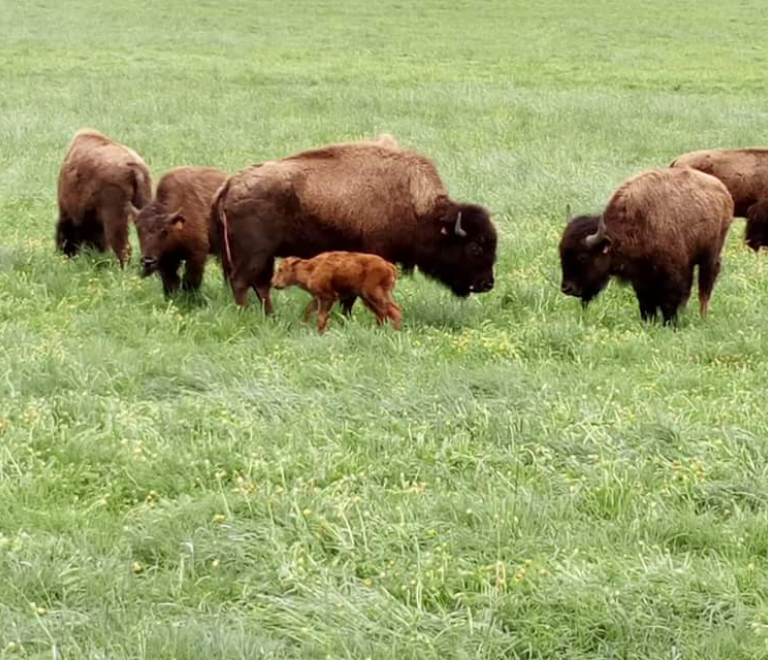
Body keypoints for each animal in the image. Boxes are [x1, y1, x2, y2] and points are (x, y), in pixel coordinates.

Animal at [134, 166, 228, 296]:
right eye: (138, 229)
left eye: (164, 231)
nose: (148, 260)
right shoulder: (166, 260)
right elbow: (170, 281)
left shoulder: (197, 254)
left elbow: (190, 280)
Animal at [210, 137, 498, 314]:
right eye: (474, 247)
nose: (487, 284)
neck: (418, 207)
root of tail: (231, 183)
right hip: (255, 253)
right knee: (241, 282)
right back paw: (245, 314)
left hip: (265, 256)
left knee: (261, 285)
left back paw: (269, 317)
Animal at [270, 253, 402, 336]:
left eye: (281, 269)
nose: (273, 283)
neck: (311, 269)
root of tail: (388, 265)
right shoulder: (318, 298)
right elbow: (308, 310)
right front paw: (303, 326)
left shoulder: (328, 298)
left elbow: (321, 317)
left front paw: (320, 333)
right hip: (367, 298)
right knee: (382, 313)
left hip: (373, 294)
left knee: (393, 310)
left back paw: (394, 331)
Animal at [560, 166, 736, 324]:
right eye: (561, 252)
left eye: (583, 256)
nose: (566, 288)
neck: (636, 224)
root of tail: (723, 190)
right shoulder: (641, 278)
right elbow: (646, 303)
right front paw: (649, 323)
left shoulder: (672, 274)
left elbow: (669, 302)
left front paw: (669, 324)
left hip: (709, 257)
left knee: (705, 287)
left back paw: (702, 317)